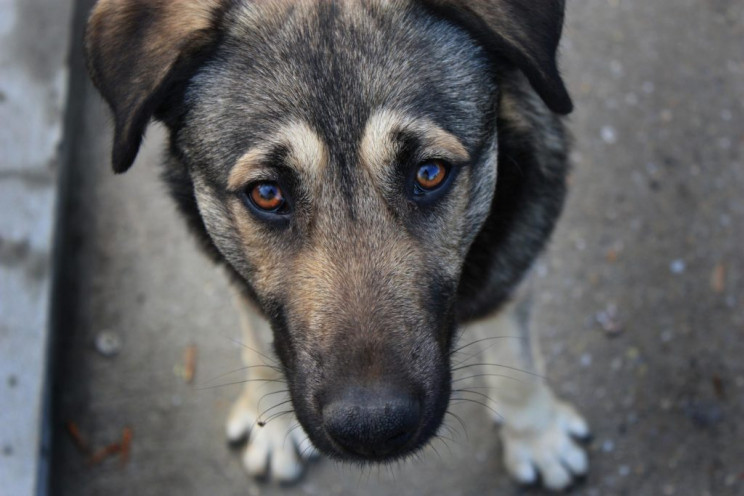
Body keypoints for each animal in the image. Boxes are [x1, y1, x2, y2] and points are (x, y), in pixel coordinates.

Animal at [84, 0, 588, 488]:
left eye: (430, 173)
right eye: (267, 194)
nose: (373, 430)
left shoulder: (512, 258)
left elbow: (517, 356)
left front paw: (537, 436)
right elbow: (259, 336)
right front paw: (272, 423)